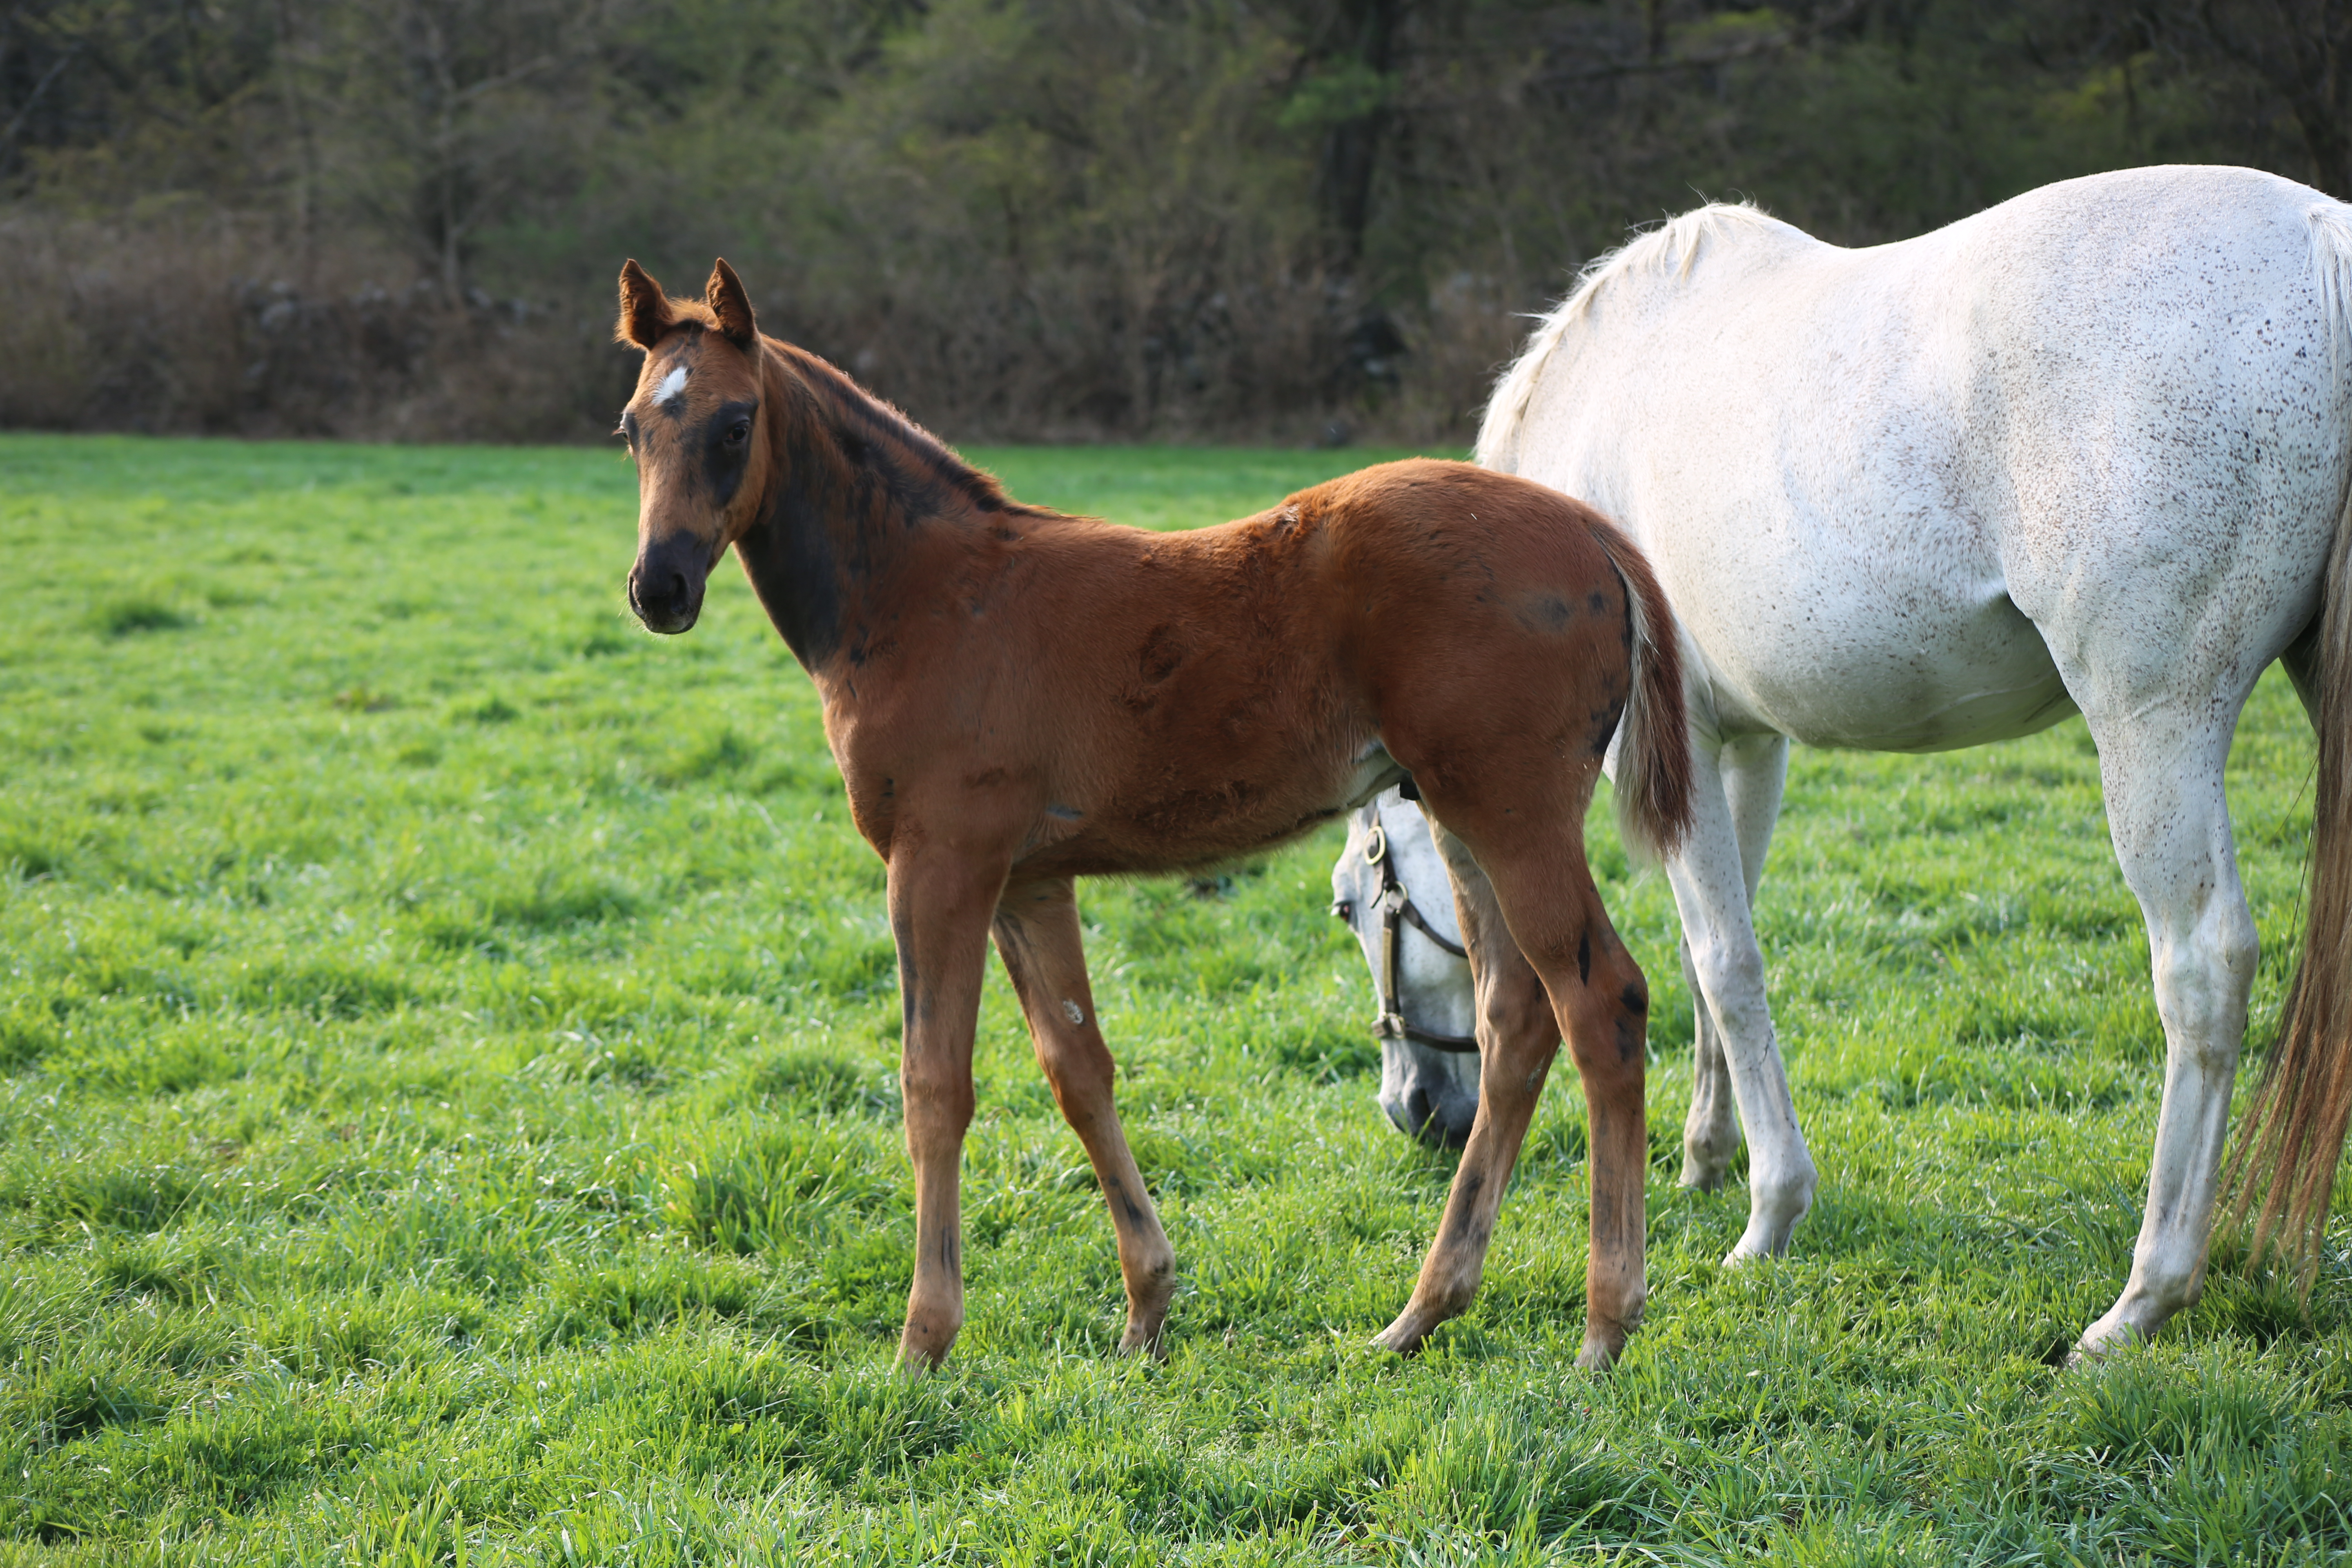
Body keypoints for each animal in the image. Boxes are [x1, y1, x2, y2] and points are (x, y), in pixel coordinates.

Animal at [616, 261, 1703, 1373]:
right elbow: (1077, 1071)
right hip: (1458, 815)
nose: (659, 587)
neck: (920, 595)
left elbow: (934, 1086)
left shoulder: (937, 865)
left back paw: (1604, 1324)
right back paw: (1421, 1311)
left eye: (735, 425)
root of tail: (1592, 532)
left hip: (1514, 810)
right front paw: (1146, 1307)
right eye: (631, 429)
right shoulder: (1028, 880)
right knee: (1514, 1018)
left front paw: (922, 1341)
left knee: (1601, 1003)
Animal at [1354, 165, 2352, 1354]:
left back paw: (2141, 1300)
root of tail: (2319, 239)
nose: (1413, 1111)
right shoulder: (1742, 746)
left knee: (2201, 971)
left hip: (2152, 724)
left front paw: (1769, 1214)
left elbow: (1727, 965)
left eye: (1359, 902)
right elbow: (1713, 949)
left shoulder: (1671, 747)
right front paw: (1705, 1158)